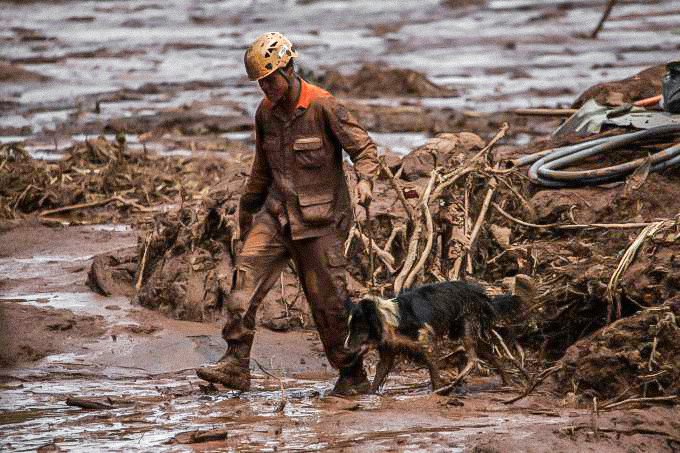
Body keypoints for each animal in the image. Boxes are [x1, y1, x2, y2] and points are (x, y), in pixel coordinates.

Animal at [346, 278, 520, 392]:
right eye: (349, 327)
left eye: (358, 328)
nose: (346, 347)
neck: (387, 321)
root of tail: (484, 296)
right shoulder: (388, 347)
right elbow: (380, 372)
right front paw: (368, 396)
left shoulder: (425, 340)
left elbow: (432, 367)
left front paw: (437, 391)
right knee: (490, 355)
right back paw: (508, 383)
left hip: (467, 323)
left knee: (473, 358)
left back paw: (456, 382)